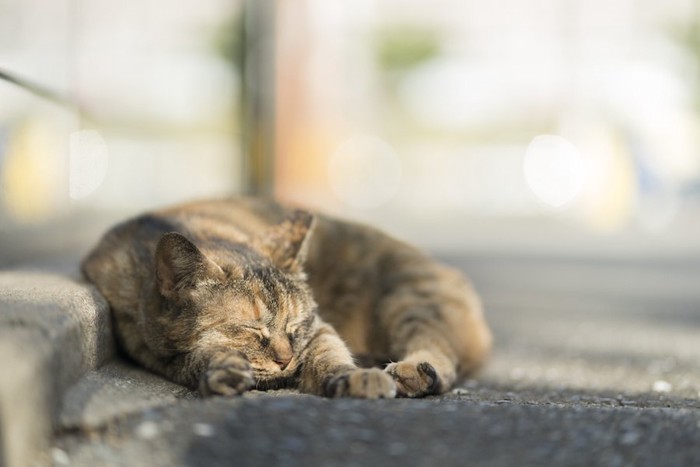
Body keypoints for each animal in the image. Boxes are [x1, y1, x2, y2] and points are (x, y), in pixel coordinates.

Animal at [83, 197, 492, 398]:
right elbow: (199, 356)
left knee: (442, 355)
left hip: (410, 302)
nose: (285, 359)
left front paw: (351, 377)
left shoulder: (320, 330)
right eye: (251, 329)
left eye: (294, 325)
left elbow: (330, 354)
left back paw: (411, 372)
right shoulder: (151, 349)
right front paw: (223, 368)